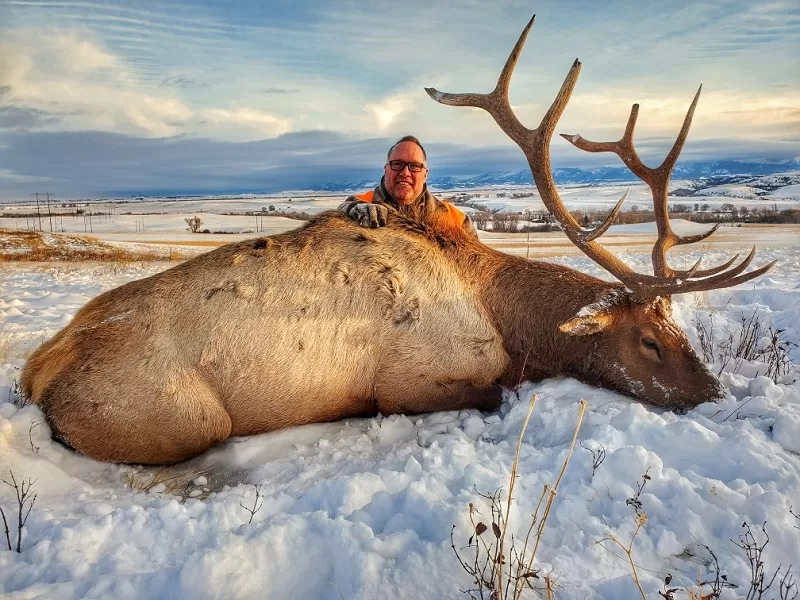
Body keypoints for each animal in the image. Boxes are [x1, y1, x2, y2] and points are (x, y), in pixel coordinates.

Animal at [23, 17, 776, 464]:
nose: (715, 394)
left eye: (678, 329)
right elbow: (491, 393)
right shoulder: (410, 381)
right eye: (647, 341)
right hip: (175, 416)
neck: (507, 320)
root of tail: (40, 366)